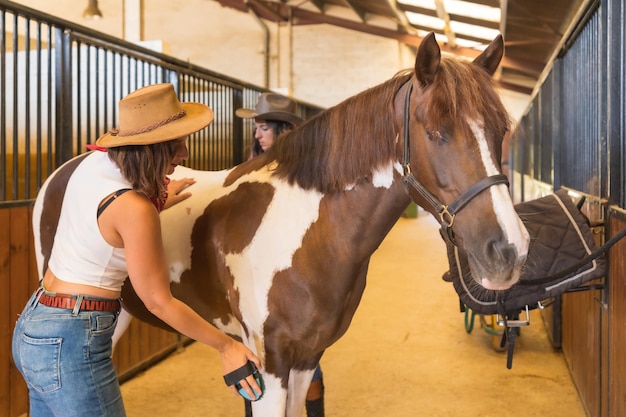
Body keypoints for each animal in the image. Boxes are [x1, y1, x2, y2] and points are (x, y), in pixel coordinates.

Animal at [31, 34, 524, 414]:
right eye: (436, 132)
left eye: (502, 131)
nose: (509, 251)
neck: (305, 234)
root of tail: (69, 169)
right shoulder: (269, 364)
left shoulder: (307, 359)